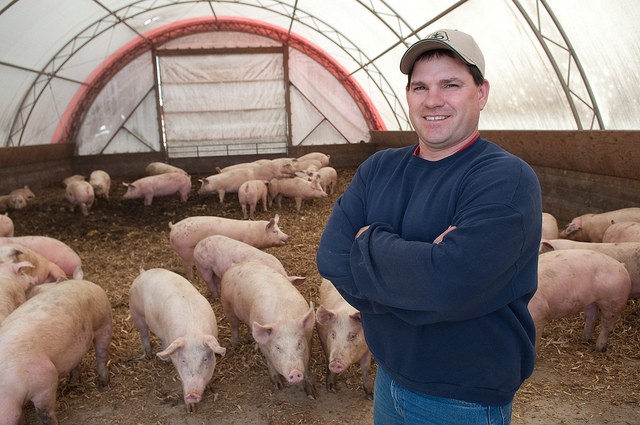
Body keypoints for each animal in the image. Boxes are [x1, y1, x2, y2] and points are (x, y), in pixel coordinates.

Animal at [0, 278, 112, 424]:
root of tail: (85, 282)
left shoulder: (46, 379)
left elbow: (44, 412)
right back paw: (73, 383)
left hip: (104, 321)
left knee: (101, 354)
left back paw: (103, 384)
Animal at [127, 268, 225, 410]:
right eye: (183, 360)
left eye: (205, 359)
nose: (192, 395)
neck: (193, 332)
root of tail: (143, 272)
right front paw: (190, 410)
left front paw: (209, 388)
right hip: (136, 312)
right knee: (144, 333)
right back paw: (148, 356)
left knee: (163, 341)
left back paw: (165, 360)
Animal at [221, 260, 318, 400]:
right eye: (278, 347)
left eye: (299, 344)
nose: (295, 373)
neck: (284, 318)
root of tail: (235, 265)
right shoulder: (264, 345)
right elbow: (270, 361)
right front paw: (278, 385)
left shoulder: (309, 339)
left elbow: (306, 363)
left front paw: (312, 394)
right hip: (226, 304)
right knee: (234, 326)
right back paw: (235, 345)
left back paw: (250, 339)